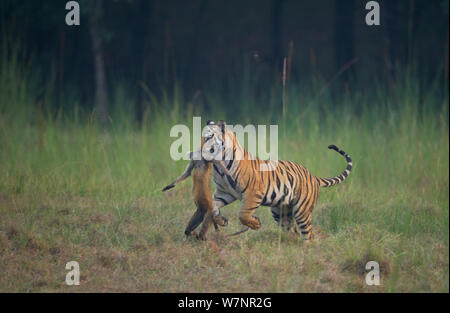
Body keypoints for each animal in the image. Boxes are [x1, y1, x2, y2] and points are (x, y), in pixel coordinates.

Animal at [200, 119, 352, 239]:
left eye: (209, 138)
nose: (200, 150)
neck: (220, 166)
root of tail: (313, 176)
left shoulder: (253, 193)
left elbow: (243, 214)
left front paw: (255, 224)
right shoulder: (224, 193)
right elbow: (212, 206)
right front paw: (221, 220)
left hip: (302, 211)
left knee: (309, 234)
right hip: (281, 212)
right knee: (293, 231)